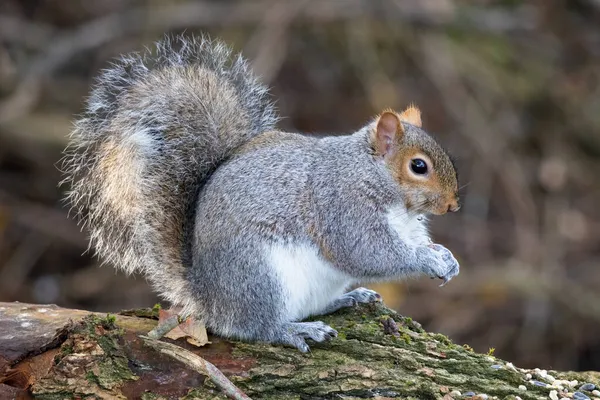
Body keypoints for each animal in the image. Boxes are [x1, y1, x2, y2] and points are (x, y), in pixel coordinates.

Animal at [62, 35, 460, 354]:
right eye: (419, 166)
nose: (453, 205)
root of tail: (208, 297)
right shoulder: (342, 206)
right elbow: (367, 252)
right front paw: (426, 261)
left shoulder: (406, 226)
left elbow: (415, 243)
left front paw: (445, 257)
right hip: (260, 276)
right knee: (255, 327)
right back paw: (293, 330)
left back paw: (348, 298)